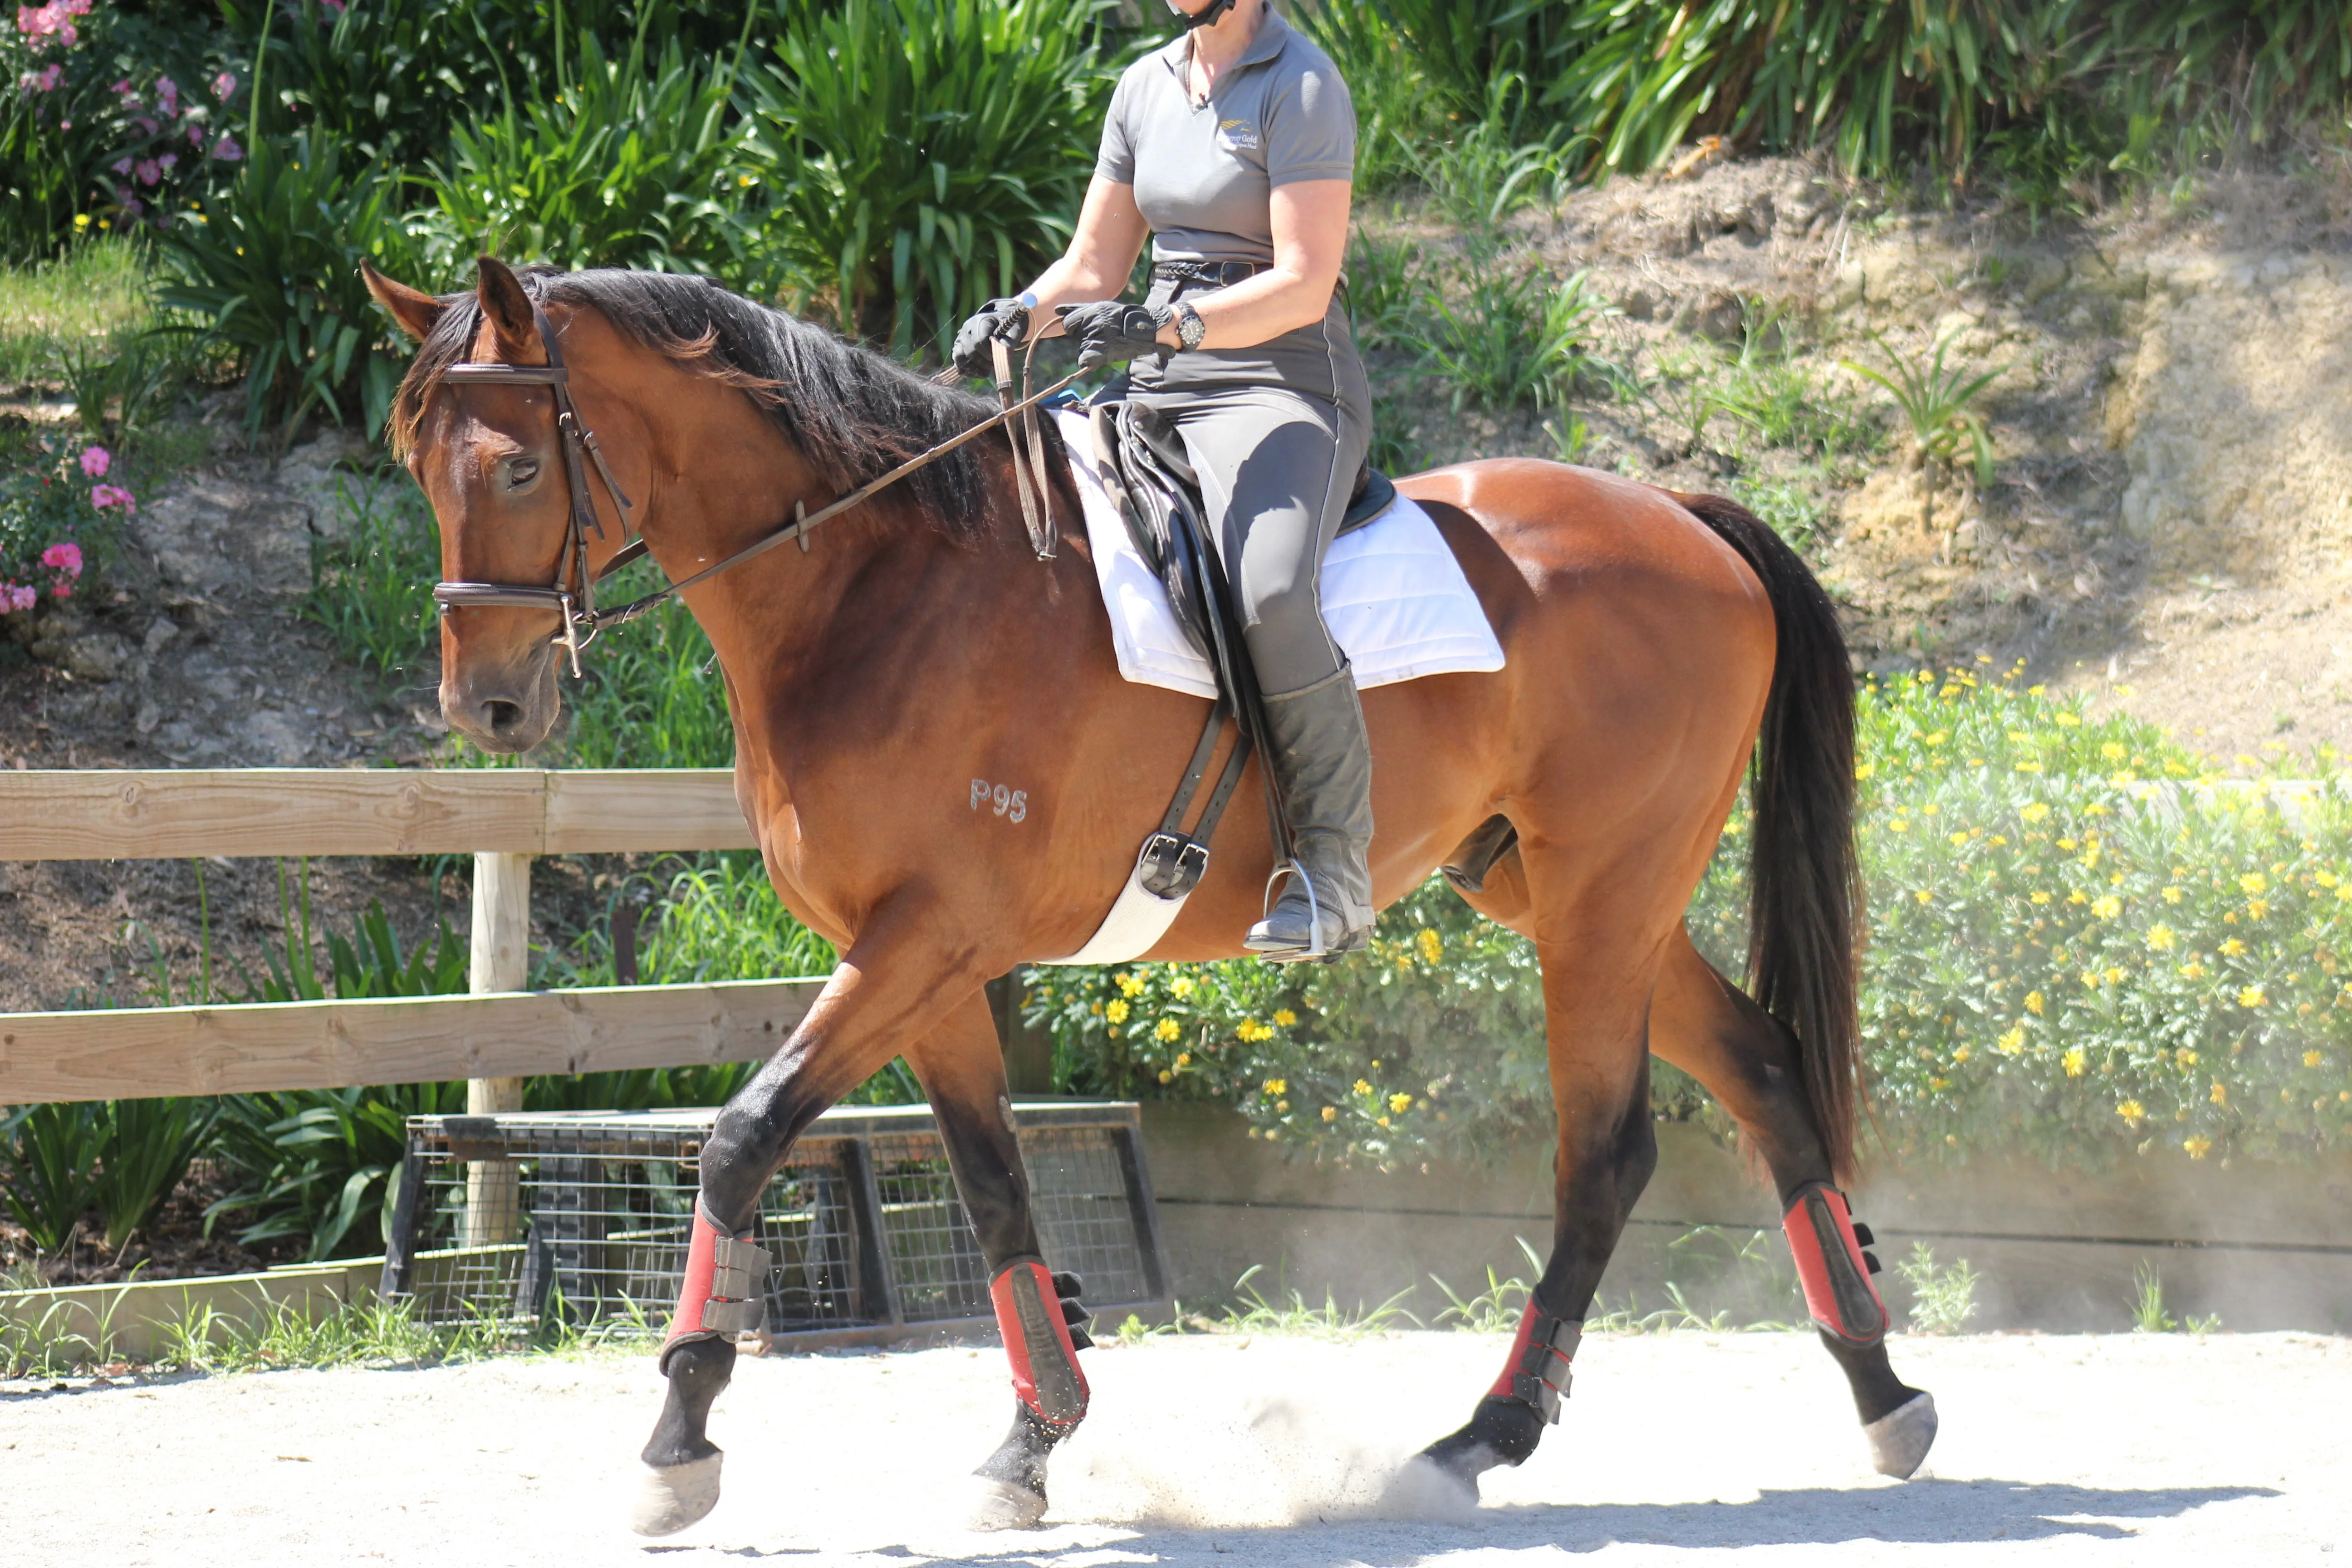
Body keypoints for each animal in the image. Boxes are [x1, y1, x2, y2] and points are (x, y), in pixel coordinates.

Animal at [367, 257, 1938, 1533]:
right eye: (419, 467)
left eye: (516, 471)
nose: (487, 707)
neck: (875, 589)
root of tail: (1675, 512)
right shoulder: (926, 962)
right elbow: (992, 1189)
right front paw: (1032, 1442)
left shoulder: (927, 935)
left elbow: (743, 1142)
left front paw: (678, 1438)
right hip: (1561, 892)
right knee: (1763, 1063)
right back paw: (1883, 1393)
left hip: (1603, 893)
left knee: (1605, 1154)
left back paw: (1482, 1439)